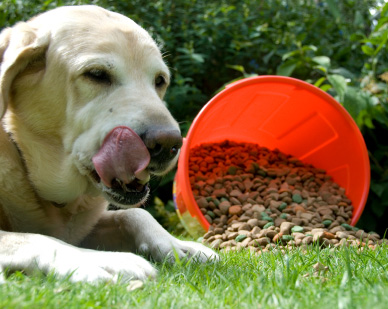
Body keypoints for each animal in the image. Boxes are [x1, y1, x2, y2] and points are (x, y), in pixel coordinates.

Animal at [0, 4, 218, 282]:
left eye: (159, 80)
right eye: (96, 74)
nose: (169, 143)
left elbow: (135, 213)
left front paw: (178, 246)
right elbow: (36, 238)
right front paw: (96, 259)